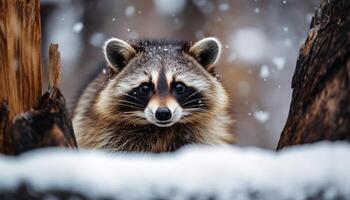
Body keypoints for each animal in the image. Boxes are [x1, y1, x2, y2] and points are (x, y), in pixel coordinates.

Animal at [72, 37, 234, 152]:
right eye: (145, 88)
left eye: (179, 87)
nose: (163, 113)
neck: (161, 130)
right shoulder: (105, 133)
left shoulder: (204, 133)